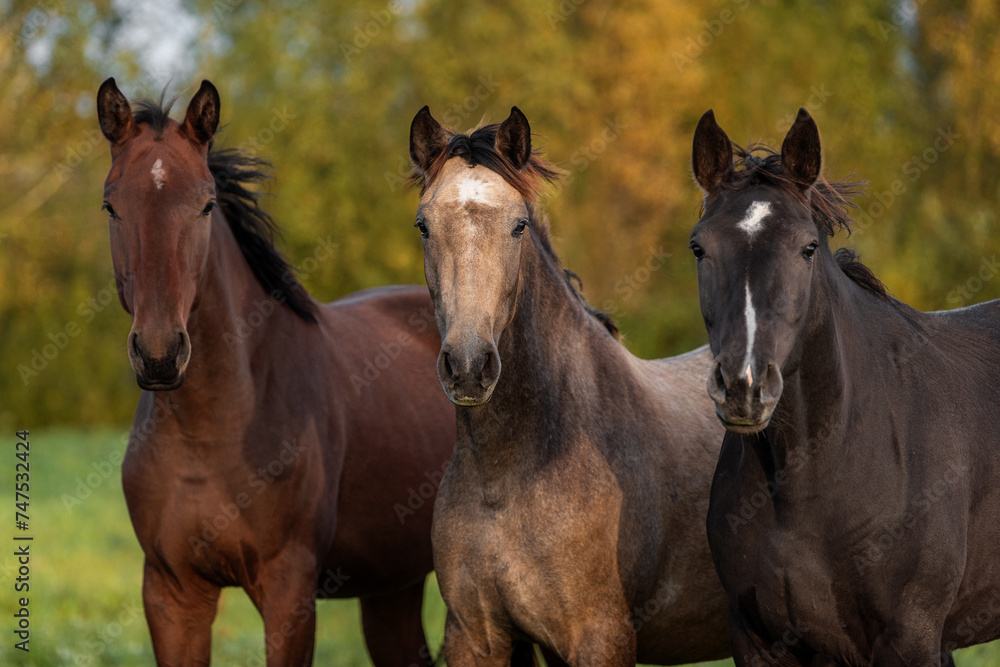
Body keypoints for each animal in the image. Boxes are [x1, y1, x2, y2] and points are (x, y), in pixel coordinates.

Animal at [95, 79, 456, 667]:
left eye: (206, 204)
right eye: (111, 206)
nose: (159, 354)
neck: (210, 433)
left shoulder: (288, 591)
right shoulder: (172, 593)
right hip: (392, 587)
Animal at [408, 107, 736, 664]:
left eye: (519, 226)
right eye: (424, 225)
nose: (470, 365)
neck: (511, 473)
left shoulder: (601, 636)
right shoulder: (473, 636)